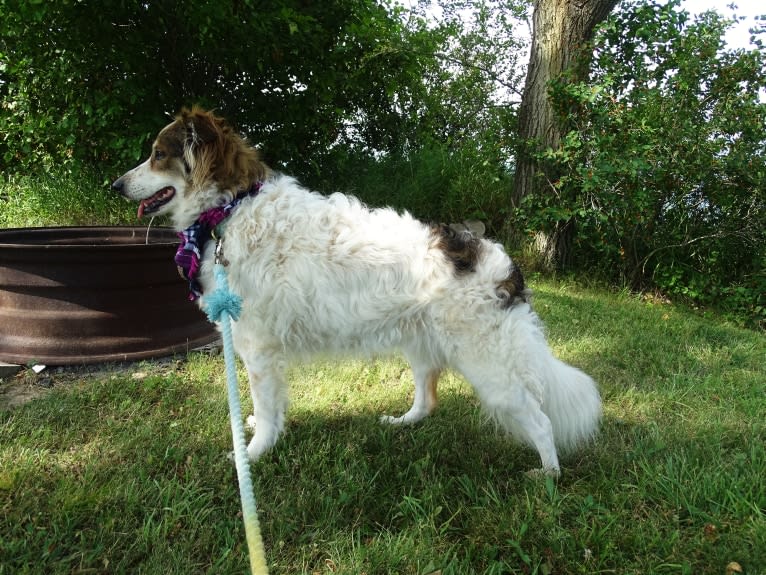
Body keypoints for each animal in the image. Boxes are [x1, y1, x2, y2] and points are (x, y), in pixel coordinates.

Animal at [111, 108, 604, 476]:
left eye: (157, 155)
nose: (114, 185)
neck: (230, 209)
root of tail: (503, 265)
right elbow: (271, 408)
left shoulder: (259, 351)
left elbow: (267, 412)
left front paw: (251, 454)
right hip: (421, 346)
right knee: (428, 400)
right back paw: (403, 423)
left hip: (493, 372)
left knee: (541, 422)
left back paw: (548, 476)